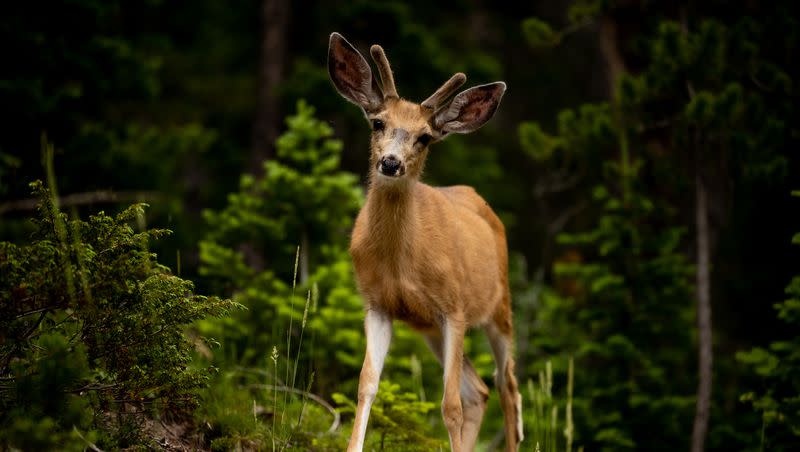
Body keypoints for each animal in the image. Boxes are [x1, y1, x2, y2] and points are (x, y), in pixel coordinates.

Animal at [326, 32, 520, 452]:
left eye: (425, 137)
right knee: (479, 390)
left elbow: (449, 406)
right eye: (377, 122)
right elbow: (366, 386)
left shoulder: (455, 308)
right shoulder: (378, 304)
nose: (391, 163)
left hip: (499, 308)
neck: (402, 259)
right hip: (430, 328)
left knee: (507, 387)